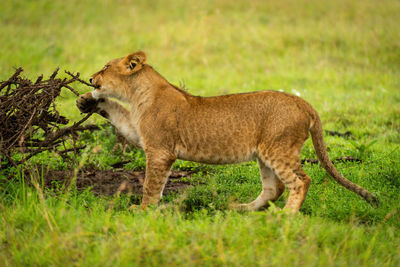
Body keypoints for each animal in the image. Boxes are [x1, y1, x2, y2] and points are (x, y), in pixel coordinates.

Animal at [76, 51, 378, 213]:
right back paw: (243, 210)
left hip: (278, 148)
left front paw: (143, 210)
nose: (90, 79)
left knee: (301, 181)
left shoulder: (160, 150)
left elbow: (152, 185)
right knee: (275, 187)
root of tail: (302, 101)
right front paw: (87, 101)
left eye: (105, 67)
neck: (138, 94)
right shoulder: (139, 132)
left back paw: (285, 216)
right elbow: (119, 115)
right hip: (265, 154)